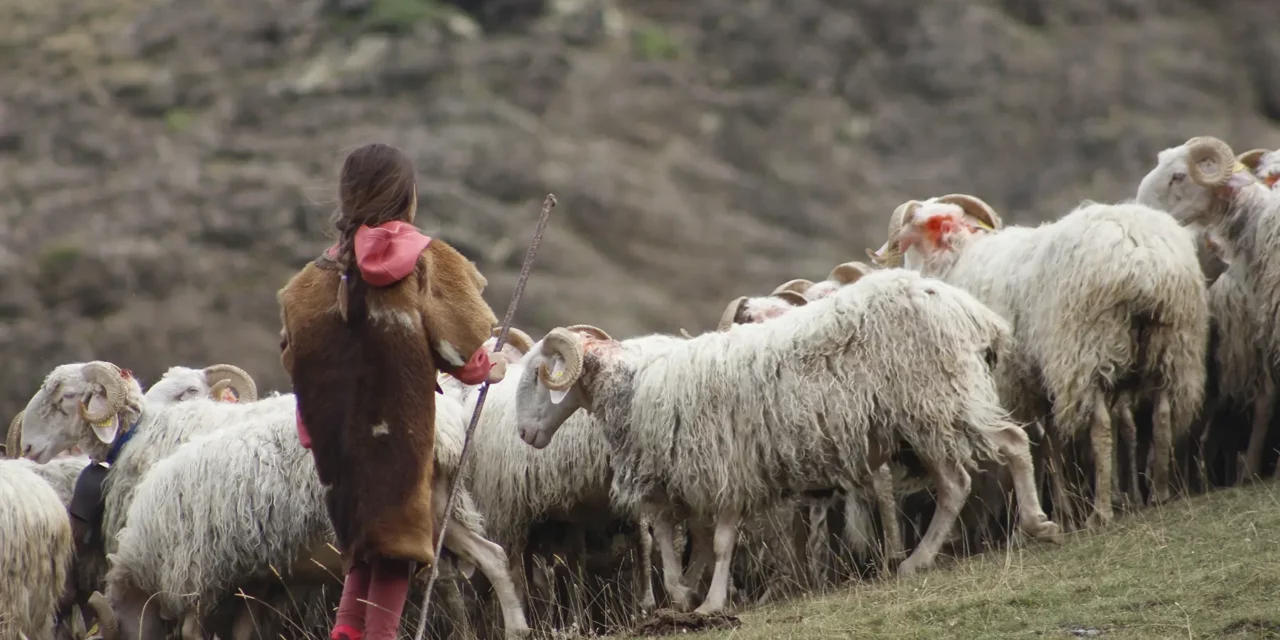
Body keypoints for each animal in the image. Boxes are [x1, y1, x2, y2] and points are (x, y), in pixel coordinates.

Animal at [509, 266, 1059, 614]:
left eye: (538, 375)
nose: (524, 434)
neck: (636, 384)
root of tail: (967, 309)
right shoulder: (671, 480)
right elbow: (673, 544)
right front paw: (682, 595)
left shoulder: (725, 469)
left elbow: (722, 543)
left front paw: (711, 604)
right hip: (922, 419)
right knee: (954, 483)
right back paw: (917, 562)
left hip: (943, 396)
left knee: (1011, 443)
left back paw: (1036, 524)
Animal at [860, 194, 1208, 529]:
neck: (955, 255)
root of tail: (1140, 254)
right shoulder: (1038, 381)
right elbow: (1051, 444)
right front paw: (1062, 511)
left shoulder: (1009, 383)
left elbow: (1033, 445)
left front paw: (1029, 517)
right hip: (1174, 344)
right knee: (1162, 413)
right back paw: (1159, 493)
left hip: (1084, 351)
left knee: (1101, 428)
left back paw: (1101, 513)